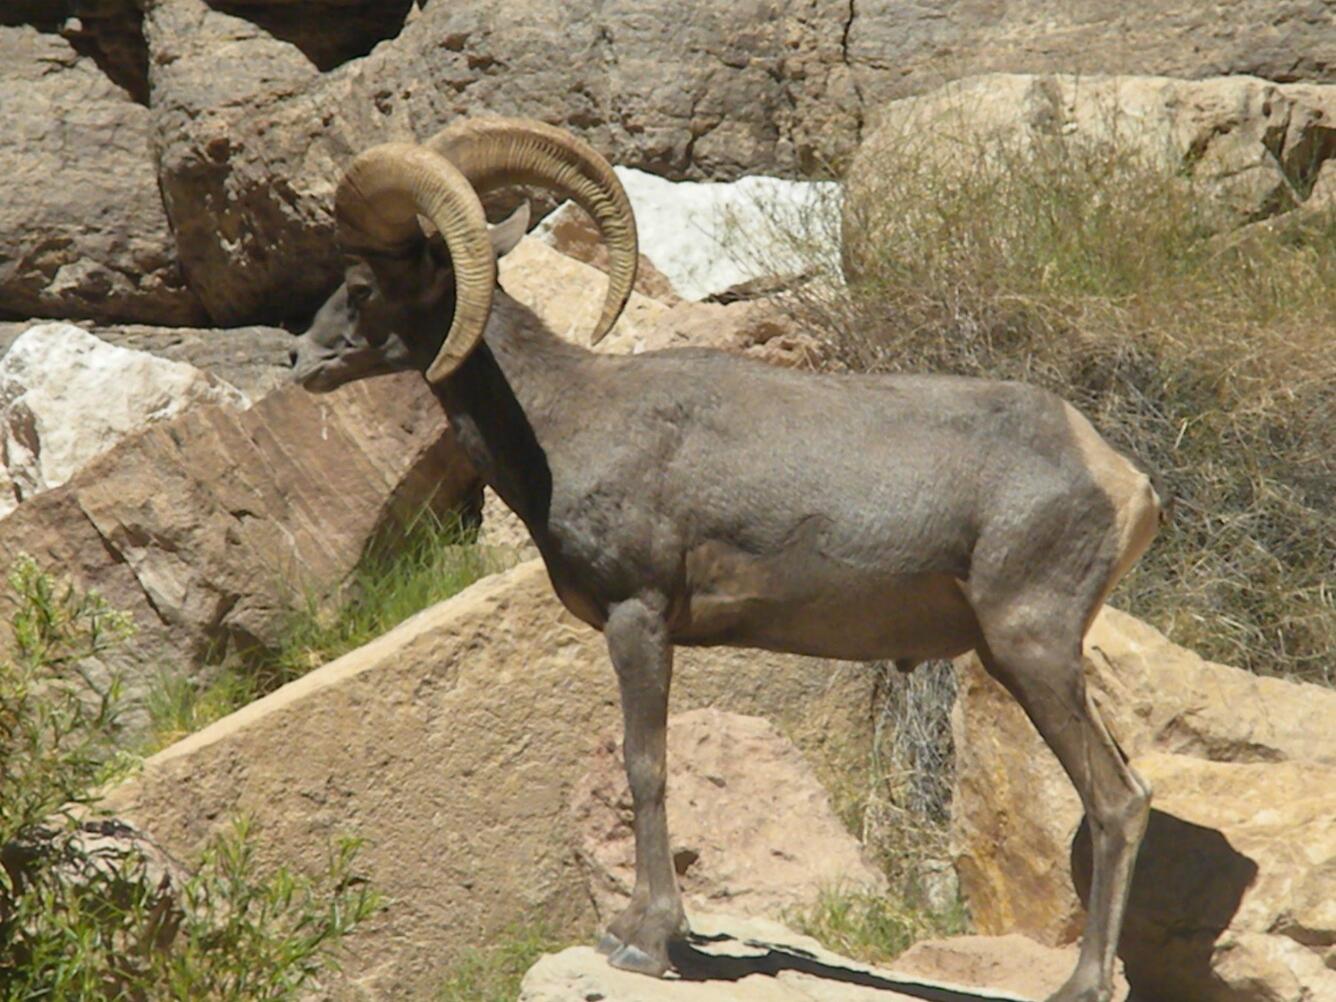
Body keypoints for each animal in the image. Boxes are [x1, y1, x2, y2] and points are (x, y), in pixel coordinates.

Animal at [290, 117, 1163, 1002]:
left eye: (361, 284)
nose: (300, 360)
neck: (562, 420)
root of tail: (1124, 482)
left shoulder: (638, 620)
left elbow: (646, 766)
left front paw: (646, 942)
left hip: (1029, 649)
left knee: (1117, 801)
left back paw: (1081, 985)